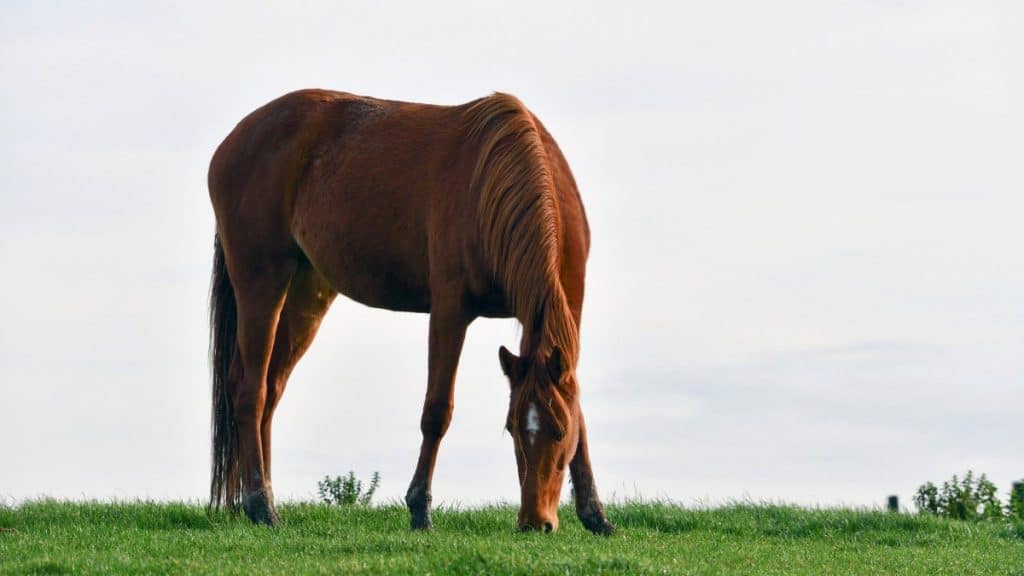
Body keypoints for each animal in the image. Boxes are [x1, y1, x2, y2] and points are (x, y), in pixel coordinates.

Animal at [203, 89, 610, 532]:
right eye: (512, 429)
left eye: (558, 431)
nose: (535, 522)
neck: (498, 181)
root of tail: (232, 142)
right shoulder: (450, 311)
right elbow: (437, 410)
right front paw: (420, 508)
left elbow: (580, 411)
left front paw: (595, 513)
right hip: (261, 282)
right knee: (250, 390)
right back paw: (260, 504)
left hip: (305, 292)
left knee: (272, 388)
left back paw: (263, 498)